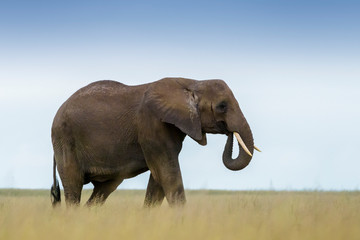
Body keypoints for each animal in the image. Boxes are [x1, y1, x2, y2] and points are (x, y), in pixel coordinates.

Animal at [50, 78, 258, 207]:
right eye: (222, 106)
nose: (229, 132)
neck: (192, 82)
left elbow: (158, 179)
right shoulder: (152, 125)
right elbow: (168, 174)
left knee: (104, 189)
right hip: (64, 139)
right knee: (73, 186)